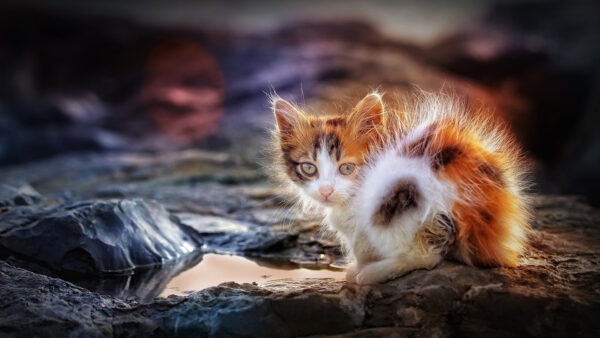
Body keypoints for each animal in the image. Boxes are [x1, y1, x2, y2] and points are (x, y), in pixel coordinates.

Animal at [270, 91, 528, 284]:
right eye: (308, 168)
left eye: (346, 168)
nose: (325, 191)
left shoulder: (364, 215)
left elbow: (361, 244)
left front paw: (359, 268)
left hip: (400, 194)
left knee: (428, 257)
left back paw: (374, 273)